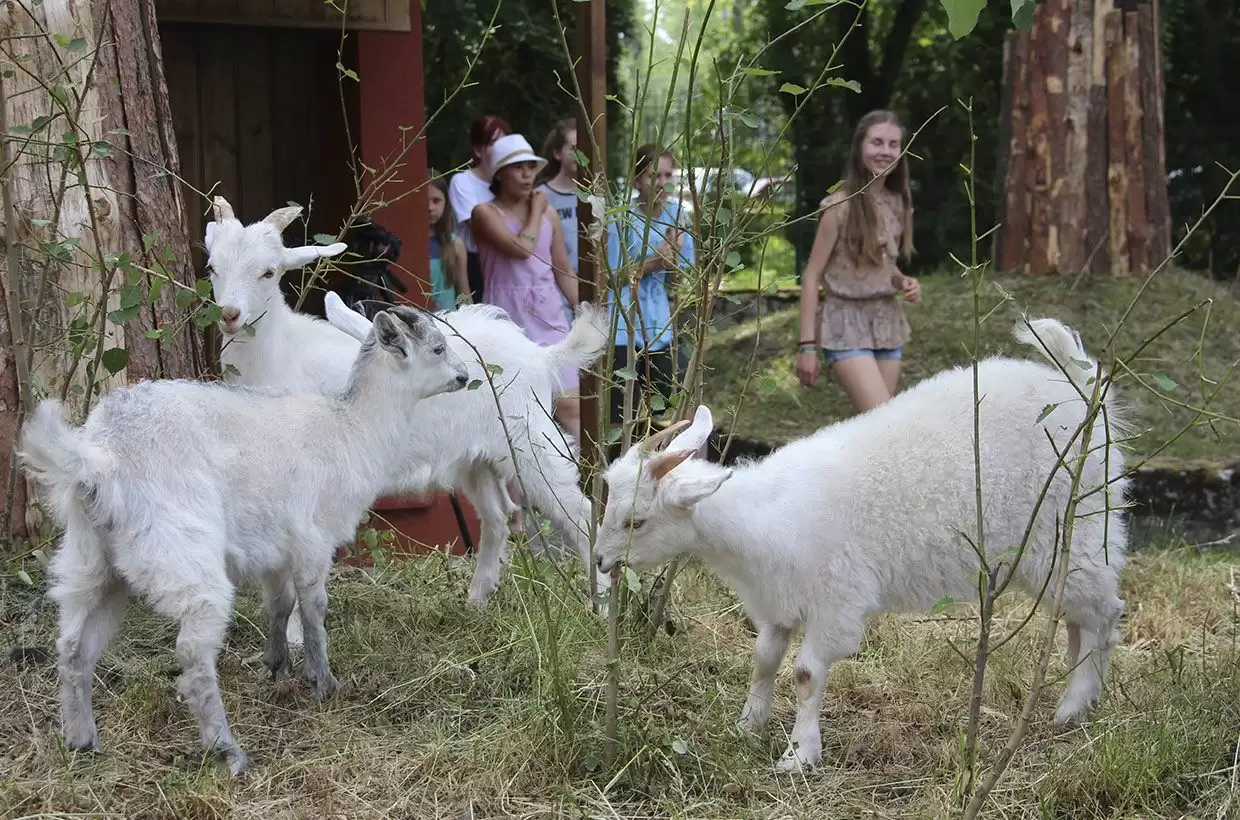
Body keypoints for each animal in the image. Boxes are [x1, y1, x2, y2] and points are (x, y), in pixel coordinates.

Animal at [20, 302, 473, 774]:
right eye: (437, 348)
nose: (464, 377)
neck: (353, 428)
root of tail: (98, 459)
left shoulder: (275, 548)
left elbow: (281, 604)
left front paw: (276, 667)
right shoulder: (314, 539)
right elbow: (313, 607)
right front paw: (323, 681)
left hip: (89, 560)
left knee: (74, 643)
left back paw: (81, 739)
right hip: (180, 551)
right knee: (192, 651)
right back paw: (229, 751)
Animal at [205, 198, 612, 620]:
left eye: (269, 272)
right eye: (212, 267)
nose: (230, 315)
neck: (282, 352)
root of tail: (541, 356)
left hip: (531, 441)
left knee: (580, 513)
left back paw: (600, 609)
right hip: (474, 458)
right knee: (497, 517)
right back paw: (476, 600)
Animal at [595, 316, 1130, 769]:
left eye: (636, 521)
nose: (600, 561)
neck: (767, 514)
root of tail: (1083, 391)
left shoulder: (836, 601)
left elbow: (806, 674)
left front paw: (799, 757)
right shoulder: (778, 601)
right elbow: (764, 661)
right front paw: (747, 728)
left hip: (1076, 530)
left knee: (1103, 614)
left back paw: (1073, 708)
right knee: (1078, 619)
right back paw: (1079, 702)